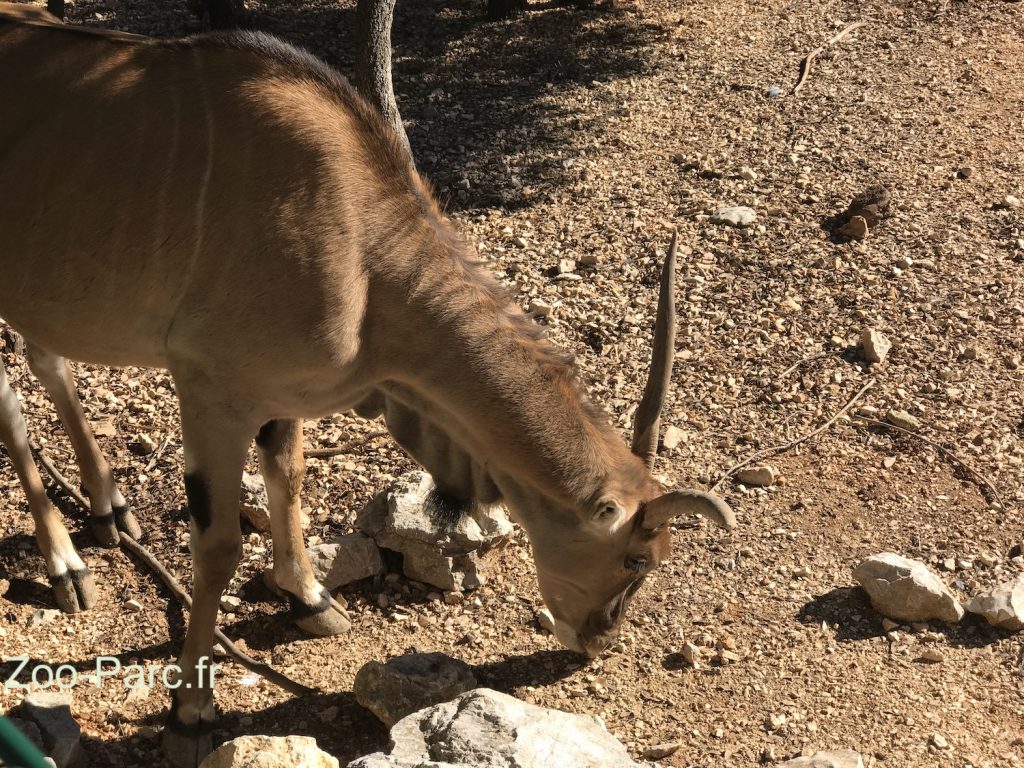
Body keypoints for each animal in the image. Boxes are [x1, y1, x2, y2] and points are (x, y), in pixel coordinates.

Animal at [0, 4, 737, 765]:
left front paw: (309, 599)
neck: (365, 254)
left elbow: (289, 477)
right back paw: (64, 565)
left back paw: (109, 510)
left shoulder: (281, 396)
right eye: (636, 557)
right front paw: (192, 710)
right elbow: (220, 547)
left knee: (46, 360)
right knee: (11, 399)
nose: (598, 638)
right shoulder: (213, 390)